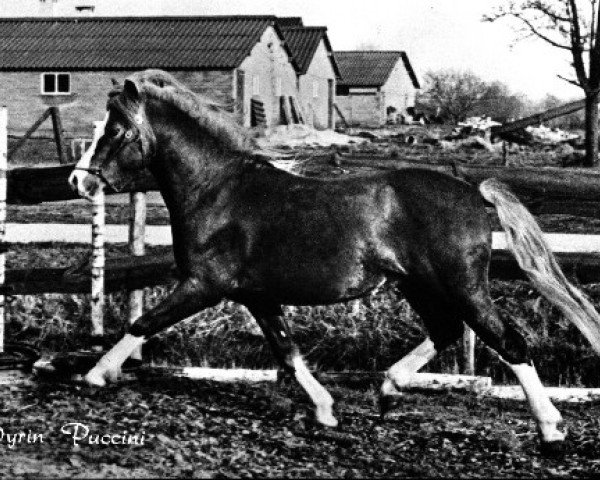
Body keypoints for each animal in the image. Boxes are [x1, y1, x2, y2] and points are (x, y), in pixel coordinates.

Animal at [68, 69, 600, 452]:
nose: (79, 181)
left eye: (116, 130)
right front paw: (325, 411)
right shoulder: (257, 296)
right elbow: (288, 352)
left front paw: (94, 374)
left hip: (463, 286)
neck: (217, 190)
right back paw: (388, 388)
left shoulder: (203, 285)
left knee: (509, 342)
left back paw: (551, 430)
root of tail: (474, 192)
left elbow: (142, 325)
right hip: (417, 284)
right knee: (446, 330)